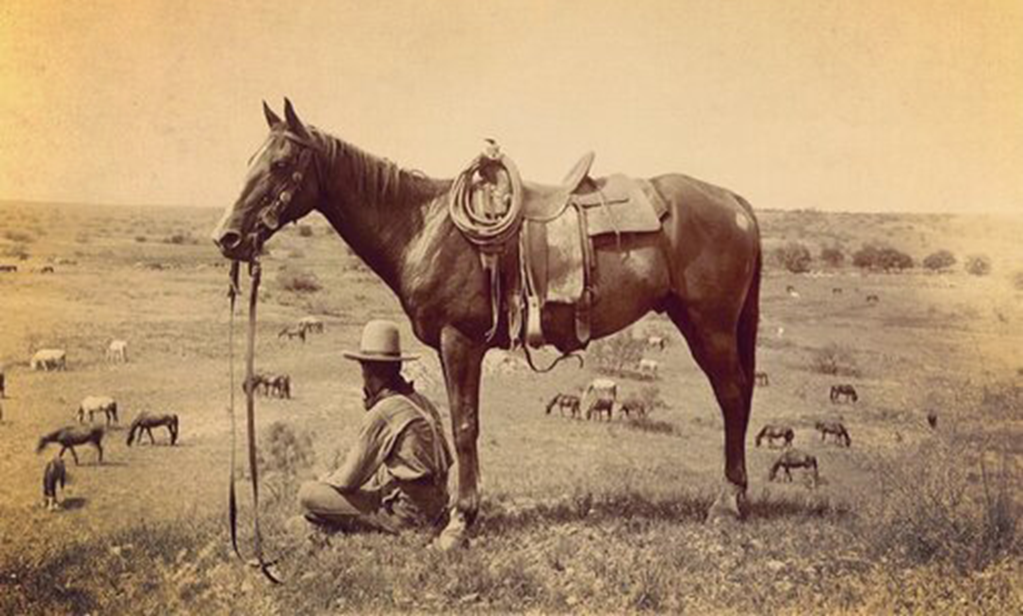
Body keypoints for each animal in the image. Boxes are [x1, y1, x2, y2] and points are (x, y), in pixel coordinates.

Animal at [211, 99, 765, 548]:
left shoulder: (460, 342)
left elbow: (464, 426)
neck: (424, 226)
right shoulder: (448, 345)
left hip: (709, 326)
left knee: (733, 396)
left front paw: (460, 523)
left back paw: (727, 503)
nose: (228, 237)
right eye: (250, 160)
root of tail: (736, 203)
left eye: (281, 163)